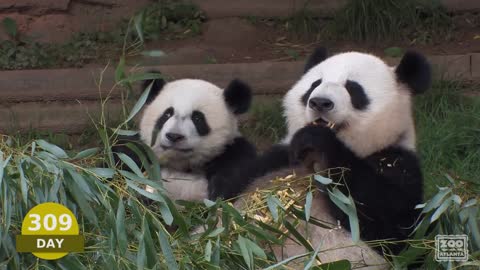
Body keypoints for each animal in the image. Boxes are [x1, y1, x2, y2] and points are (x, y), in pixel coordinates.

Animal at [114, 75, 256, 201]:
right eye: (167, 114)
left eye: (197, 118)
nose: (174, 136)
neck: (181, 166)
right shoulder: (140, 152)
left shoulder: (232, 153)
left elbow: (232, 175)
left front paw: (217, 194)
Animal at [233, 47, 432, 268]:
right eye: (315, 84)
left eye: (353, 88)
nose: (320, 102)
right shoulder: (275, 159)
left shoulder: (398, 163)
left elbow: (396, 230)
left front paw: (318, 139)